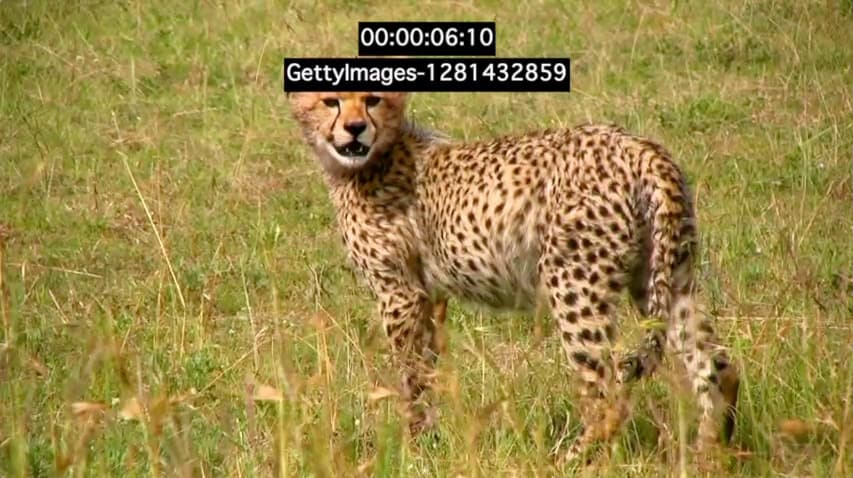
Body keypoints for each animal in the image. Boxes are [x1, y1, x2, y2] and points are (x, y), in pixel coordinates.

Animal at [287, 91, 740, 465]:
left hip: (575, 281)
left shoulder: (399, 293)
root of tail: (636, 144)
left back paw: (568, 460)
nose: (355, 128)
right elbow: (429, 369)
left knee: (607, 392)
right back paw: (709, 456)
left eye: (372, 100)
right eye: (331, 101)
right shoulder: (429, 296)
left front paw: (410, 446)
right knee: (717, 366)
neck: (371, 159)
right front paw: (430, 441)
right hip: (667, 274)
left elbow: (411, 374)